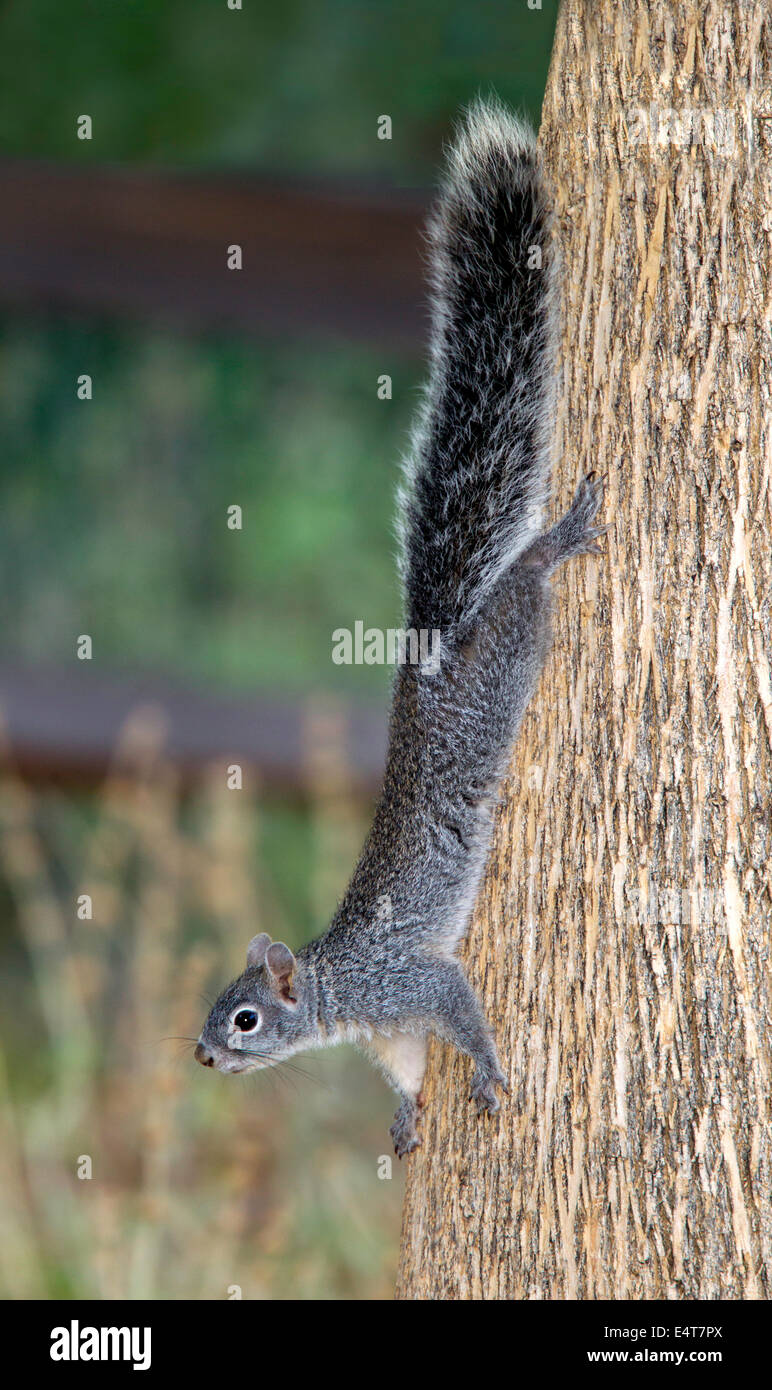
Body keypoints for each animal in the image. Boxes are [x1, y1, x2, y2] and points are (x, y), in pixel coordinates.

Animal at [193, 97, 603, 1156]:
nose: (202, 1056)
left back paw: (551, 547)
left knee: (524, 592)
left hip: (504, 662)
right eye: (213, 1009)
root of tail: (428, 657)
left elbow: (460, 1009)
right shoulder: (394, 1031)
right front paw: (407, 1114)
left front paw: (490, 1071)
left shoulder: (413, 981)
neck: (341, 994)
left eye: (245, 1017)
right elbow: (412, 1065)